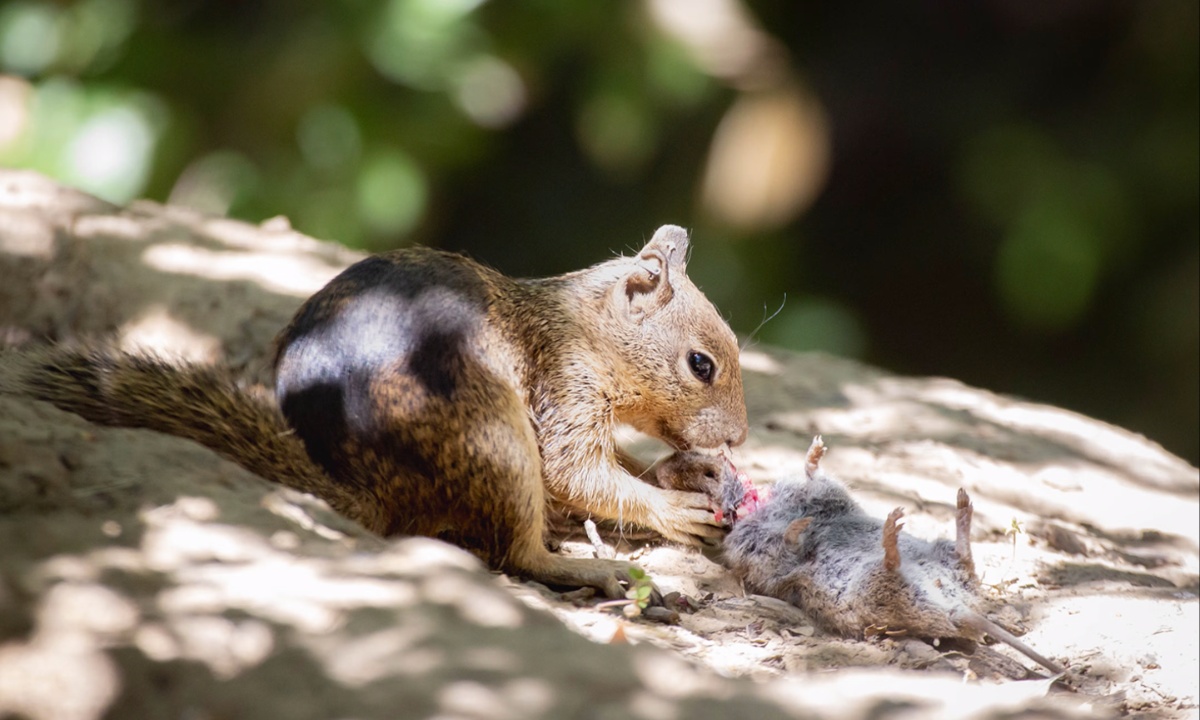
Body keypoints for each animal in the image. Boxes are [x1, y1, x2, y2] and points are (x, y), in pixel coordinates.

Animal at [9, 225, 744, 595]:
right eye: (701, 364)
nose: (738, 438)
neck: (582, 326)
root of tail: (372, 490)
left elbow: (611, 465)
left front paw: (688, 474)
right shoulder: (563, 385)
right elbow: (577, 472)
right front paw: (672, 507)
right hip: (496, 439)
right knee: (514, 553)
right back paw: (588, 568)